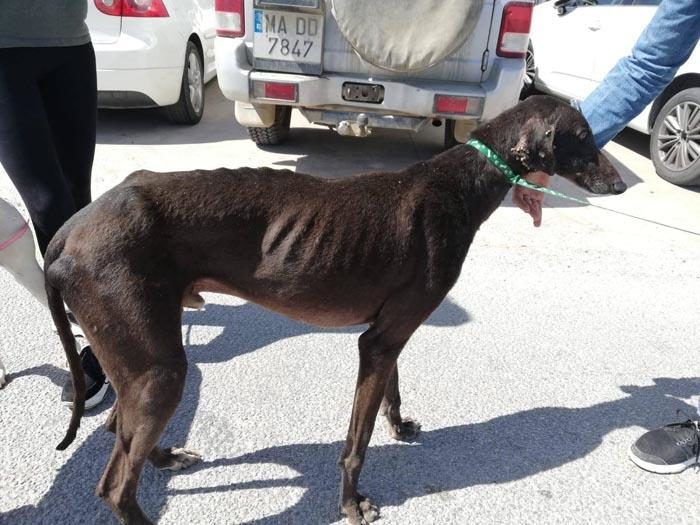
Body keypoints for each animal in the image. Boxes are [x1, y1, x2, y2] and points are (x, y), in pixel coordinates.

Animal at [44, 95, 626, 525]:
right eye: (583, 135)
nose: (619, 184)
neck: (462, 183)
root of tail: (72, 229)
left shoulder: (387, 334)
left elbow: (391, 388)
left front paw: (400, 425)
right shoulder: (379, 340)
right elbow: (356, 442)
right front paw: (352, 504)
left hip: (140, 359)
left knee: (119, 430)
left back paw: (165, 456)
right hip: (158, 367)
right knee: (115, 486)